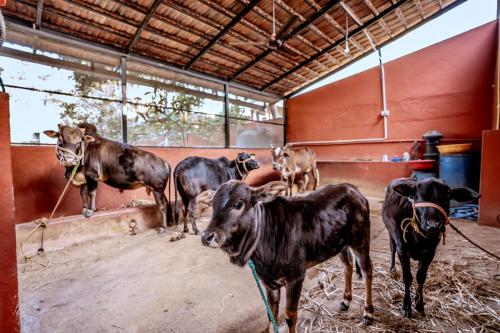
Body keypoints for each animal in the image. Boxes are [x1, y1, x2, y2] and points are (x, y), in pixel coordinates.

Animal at [45, 123, 174, 232]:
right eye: (60, 139)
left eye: (79, 141)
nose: (69, 159)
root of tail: (163, 161)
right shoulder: (84, 179)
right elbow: (83, 194)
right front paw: (84, 208)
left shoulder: (92, 176)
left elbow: (92, 193)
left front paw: (90, 210)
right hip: (160, 190)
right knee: (166, 203)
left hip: (157, 189)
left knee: (162, 206)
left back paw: (163, 227)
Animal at [201, 180, 374, 330]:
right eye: (212, 205)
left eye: (238, 204)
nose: (206, 236)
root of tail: (353, 189)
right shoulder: (269, 283)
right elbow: (271, 315)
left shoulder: (295, 277)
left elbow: (290, 316)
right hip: (340, 244)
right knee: (348, 265)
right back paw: (346, 300)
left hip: (361, 240)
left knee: (367, 269)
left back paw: (368, 313)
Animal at [382, 176, 480, 316]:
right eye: (417, 197)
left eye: (447, 198)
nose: (433, 225)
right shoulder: (402, 249)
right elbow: (407, 277)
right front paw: (406, 306)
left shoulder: (429, 252)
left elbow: (420, 277)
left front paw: (419, 304)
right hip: (391, 234)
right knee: (392, 248)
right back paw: (392, 270)